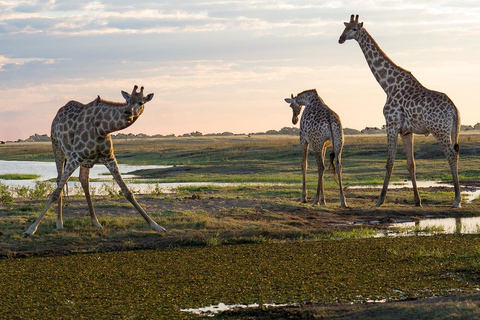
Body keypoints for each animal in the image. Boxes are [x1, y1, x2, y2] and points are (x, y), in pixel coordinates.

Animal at [24, 86, 167, 236]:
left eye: (141, 102)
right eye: (127, 101)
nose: (128, 112)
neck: (102, 128)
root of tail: (57, 114)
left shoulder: (109, 157)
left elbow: (127, 192)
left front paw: (156, 226)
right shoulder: (75, 157)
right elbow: (55, 193)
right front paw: (31, 228)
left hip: (85, 160)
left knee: (83, 180)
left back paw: (95, 221)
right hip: (57, 146)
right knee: (59, 180)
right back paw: (59, 222)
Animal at [338, 15, 462, 209]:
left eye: (355, 29)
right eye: (344, 27)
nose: (341, 39)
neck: (388, 85)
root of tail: (454, 109)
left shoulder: (391, 124)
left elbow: (389, 163)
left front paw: (379, 200)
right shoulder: (406, 131)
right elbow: (411, 164)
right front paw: (418, 201)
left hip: (439, 130)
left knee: (451, 154)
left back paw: (457, 200)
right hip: (450, 130)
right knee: (455, 153)